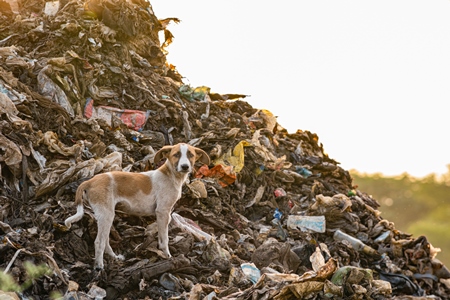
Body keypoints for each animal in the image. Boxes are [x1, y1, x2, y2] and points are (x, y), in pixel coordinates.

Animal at [63, 143, 211, 270]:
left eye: (191, 155)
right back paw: (99, 267)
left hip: (105, 215)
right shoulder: (163, 212)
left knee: (105, 240)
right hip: (106, 215)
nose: (185, 166)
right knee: (99, 242)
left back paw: (114, 257)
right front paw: (167, 256)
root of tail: (90, 181)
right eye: (176, 154)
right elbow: (164, 239)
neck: (171, 175)